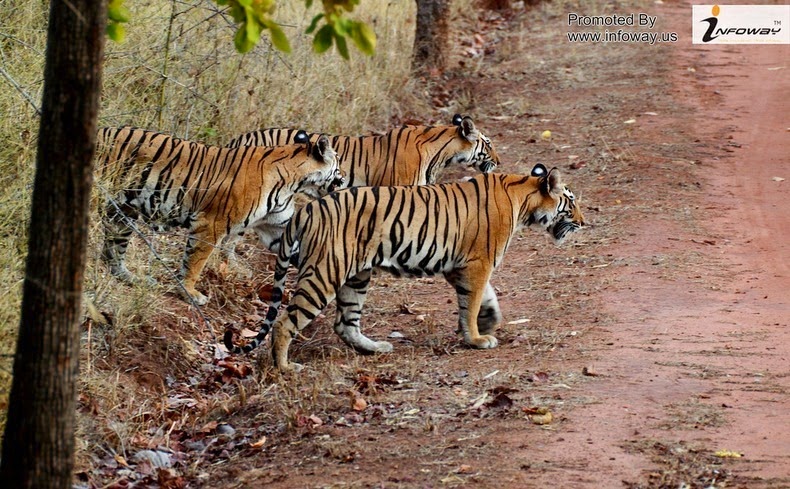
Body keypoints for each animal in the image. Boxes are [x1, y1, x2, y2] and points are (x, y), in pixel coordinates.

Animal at [93, 126, 344, 304]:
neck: (294, 181)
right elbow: (195, 261)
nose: (343, 181)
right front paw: (190, 293)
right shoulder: (211, 223)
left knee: (113, 252)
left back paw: (132, 278)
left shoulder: (277, 227)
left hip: (123, 214)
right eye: (338, 162)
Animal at [224, 164, 588, 370]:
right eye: (571, 202)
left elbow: (483, 297)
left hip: (356, 276)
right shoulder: (478, 262)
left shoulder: (460, 266)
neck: (522, 198)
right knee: (285, 322)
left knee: (345, 323)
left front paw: (487, 321)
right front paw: (476, 338)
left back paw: (375, 348)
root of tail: (307, 210)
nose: (585, 222)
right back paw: (285, 368)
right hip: (325, 274)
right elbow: (472, 301)